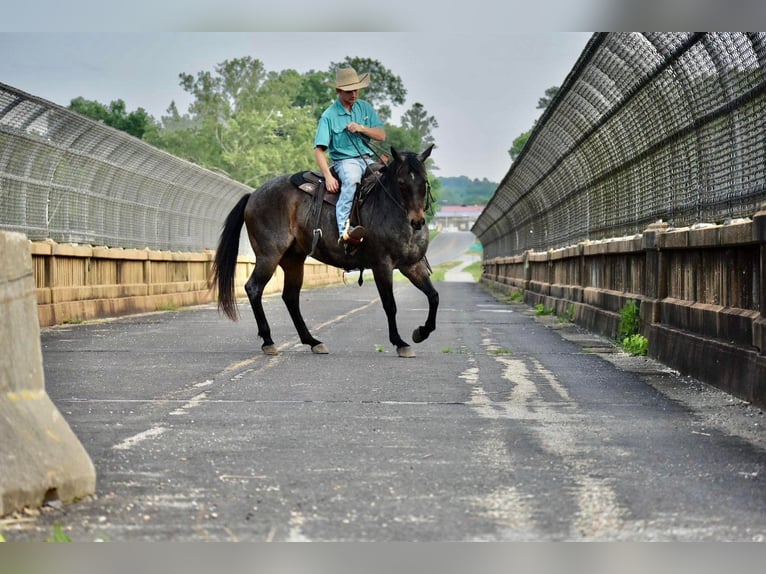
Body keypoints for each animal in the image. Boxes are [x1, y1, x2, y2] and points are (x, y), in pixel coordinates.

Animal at [212, 146, 438, 358]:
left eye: (424, 182)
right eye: (401, 182)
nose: (417, 221)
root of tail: (253, 195)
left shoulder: (412, 265)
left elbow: (433, 296)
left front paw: (421, 332)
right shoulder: (381, 265)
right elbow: (390, 304)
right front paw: (400, 342)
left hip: (293, 260)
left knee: (290, 297)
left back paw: (312, 341)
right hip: (269, 256)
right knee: (254, 288)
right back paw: (268, 341)